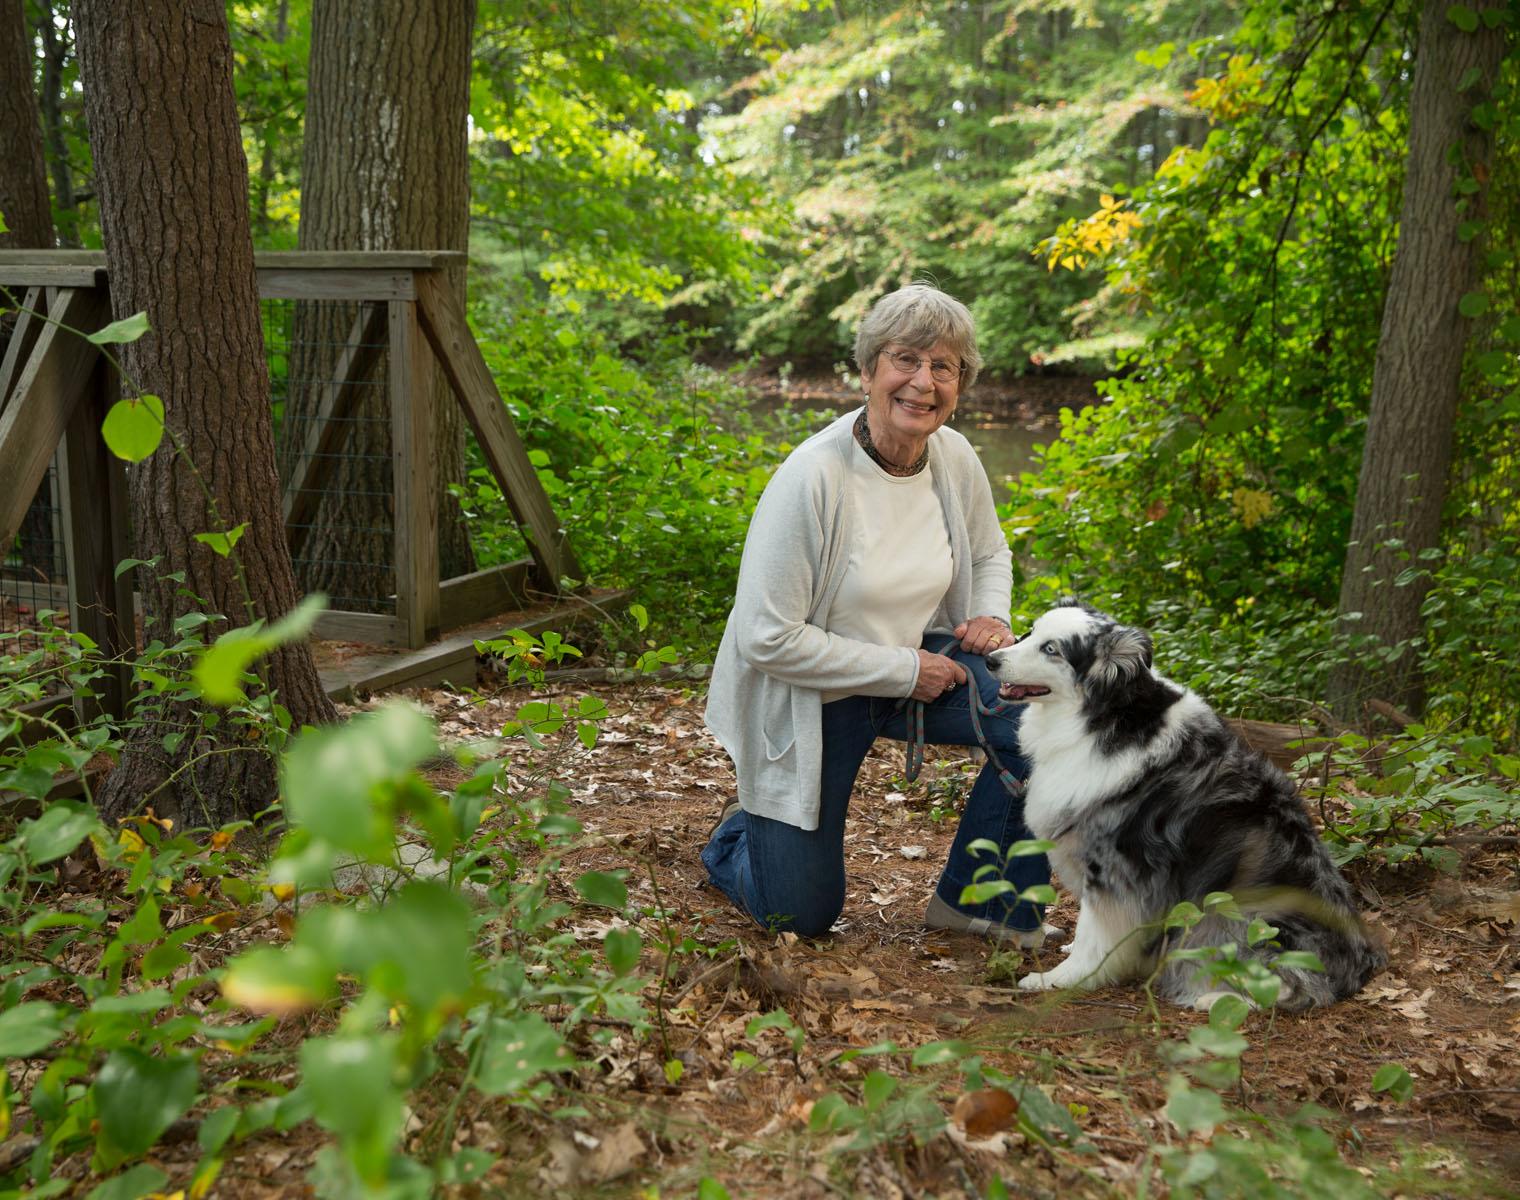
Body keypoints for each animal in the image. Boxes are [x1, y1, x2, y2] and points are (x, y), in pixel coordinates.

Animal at [984, 605, 1392, 1003]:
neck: (1102, 716)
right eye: (1030, 632)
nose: (989, 660)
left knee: (1293, 983)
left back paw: (1213, 998)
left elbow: (1094, 931)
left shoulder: (1116, 865)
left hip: (1244, 914)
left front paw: (1063, 978)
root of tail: (1359, 966)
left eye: (1051, 649)